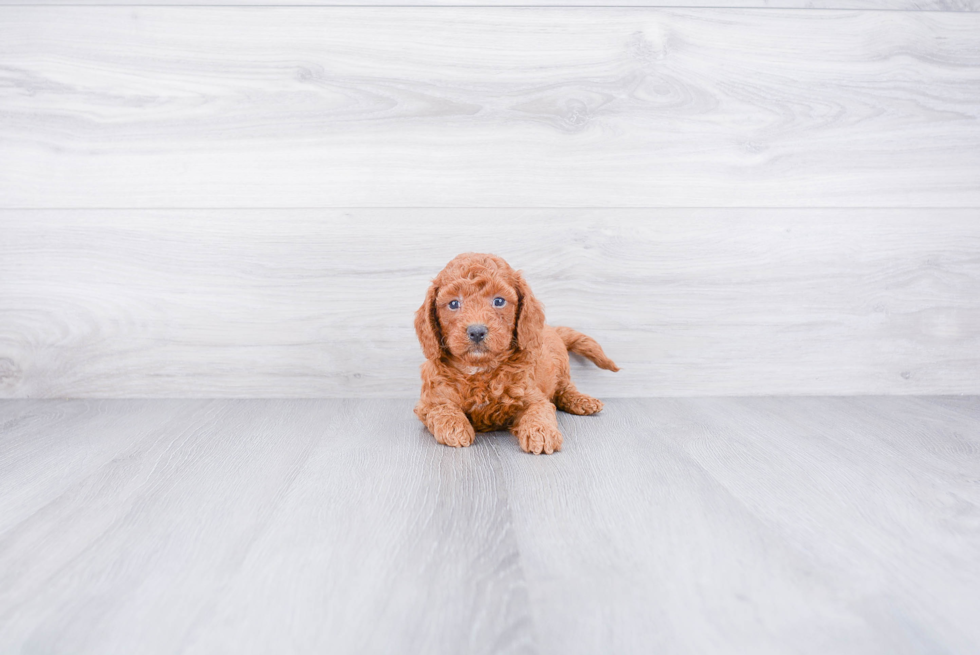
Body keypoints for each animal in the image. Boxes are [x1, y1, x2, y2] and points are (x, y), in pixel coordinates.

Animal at [416, 254, 620, 454]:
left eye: (499, 301)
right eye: (453, 303)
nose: (477, 331)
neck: (480, 369)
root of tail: (551, 329)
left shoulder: (532, 395)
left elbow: (538, 410)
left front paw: (541, 433)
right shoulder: (430, 400)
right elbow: (442, 408)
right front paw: (454, 427)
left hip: (561, 366)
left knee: (565, 388)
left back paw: (582, 401)